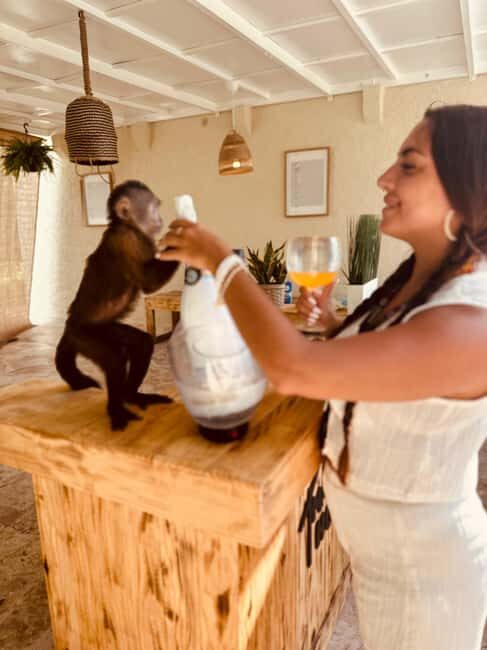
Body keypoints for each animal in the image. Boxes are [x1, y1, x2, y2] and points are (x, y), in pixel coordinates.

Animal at [55, 180, 179, 430]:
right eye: (154, 207)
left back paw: (131, 395)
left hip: (106, 329)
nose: (160, 218)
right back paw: (116, 409)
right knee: (114, 359)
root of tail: (69, 325)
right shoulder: (127, 240)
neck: (129, 226)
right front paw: (181, 239)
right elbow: (148, 283)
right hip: (84, 336)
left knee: (140, 343)